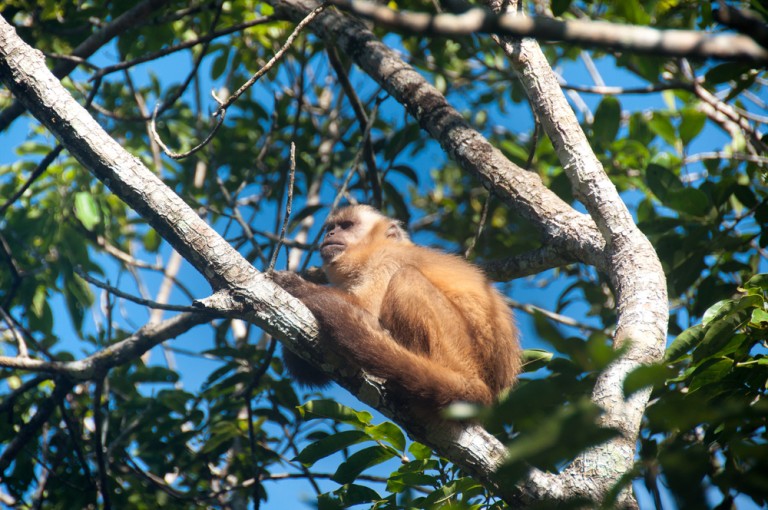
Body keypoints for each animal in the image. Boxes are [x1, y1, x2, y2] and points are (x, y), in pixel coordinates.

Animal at [272, 205, 521, 409]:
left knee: (406, 278)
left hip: (460, 354)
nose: (330, 234)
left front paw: (295, 285)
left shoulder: (385, 259)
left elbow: (365, 309)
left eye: (346, 226)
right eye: (331, 228)